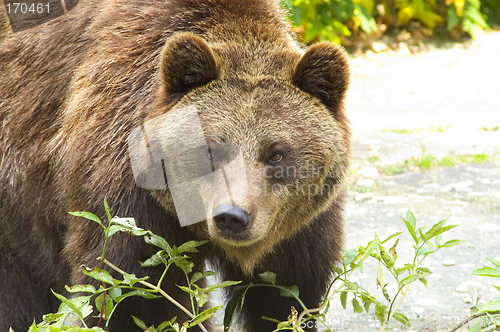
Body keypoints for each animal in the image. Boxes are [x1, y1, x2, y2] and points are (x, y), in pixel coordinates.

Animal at [0, 0, 352, 332]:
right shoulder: (130, 196)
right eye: (211, 149)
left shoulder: (296, 226)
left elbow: (286, 293)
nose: (232, 217)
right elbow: (136, 293)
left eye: (277, 154)